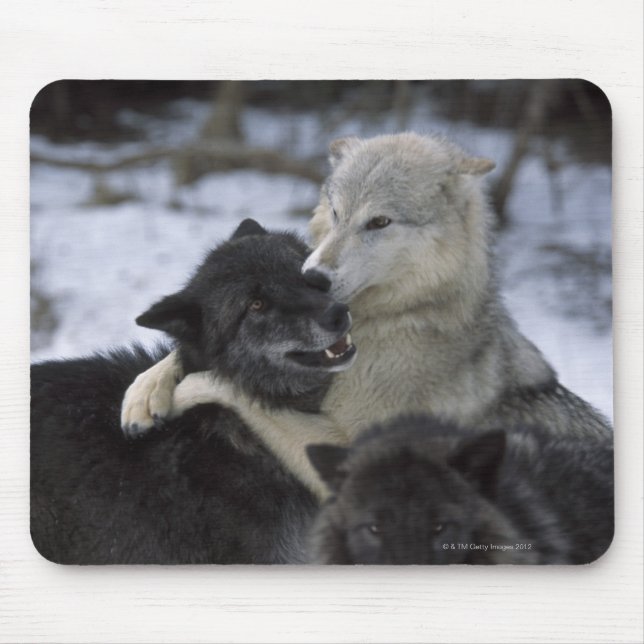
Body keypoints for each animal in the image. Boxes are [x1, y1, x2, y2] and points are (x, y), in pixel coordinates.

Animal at [121, 133, 611, 490]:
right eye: (337, 213)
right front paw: (144, 393)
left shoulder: (348, 453)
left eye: (379, 222)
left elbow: (229, 386)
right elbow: (181, 355)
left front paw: (182, 390)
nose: (314, 277)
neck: (396, 318)